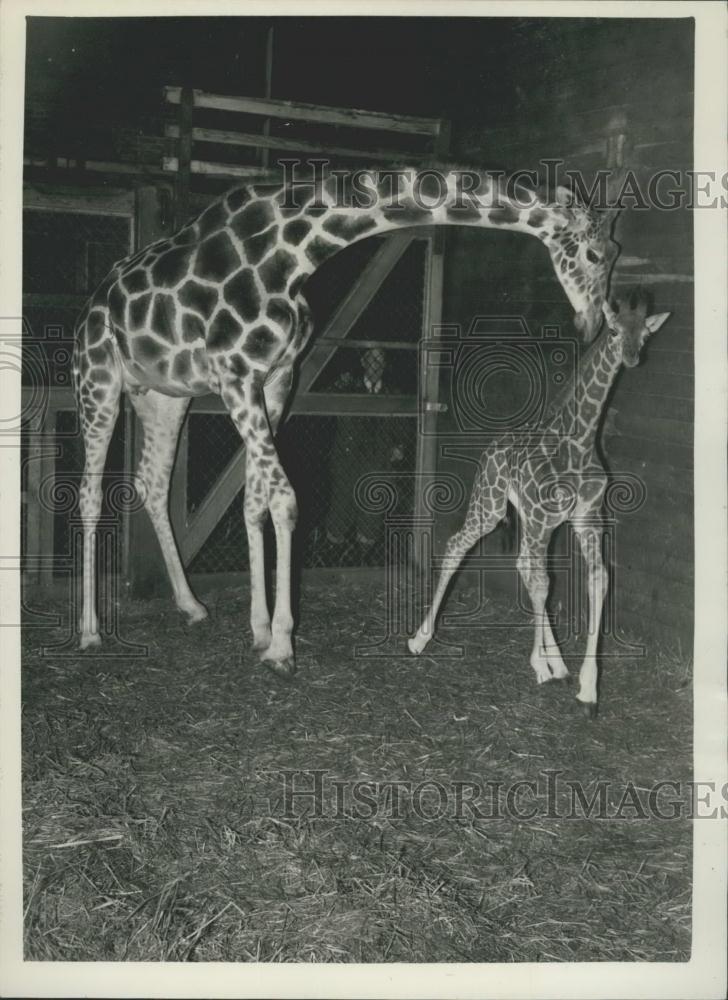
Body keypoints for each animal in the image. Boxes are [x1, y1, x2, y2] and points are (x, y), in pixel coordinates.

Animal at [72, 164, 620, 676]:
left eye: (614, 255)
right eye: (595, 255)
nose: (592, 323)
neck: (294, 252)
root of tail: (93, 302)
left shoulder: (276, 378)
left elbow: (255, 502)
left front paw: (260, 629)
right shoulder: (236, 377)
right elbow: (286, 500)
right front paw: (282, 645)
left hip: (163, 396)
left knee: (152, 482)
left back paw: (189, 605)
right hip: (97, 380)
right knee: (91, 494)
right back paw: (90, 631)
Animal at [406, 290, 668, 720]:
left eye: (644, 335)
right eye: (614, 330)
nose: (631, 357)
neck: (580, 442)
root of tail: (492, 447)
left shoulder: (586, 519)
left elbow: (598, 579)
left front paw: (587, 689)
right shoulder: (545, 517)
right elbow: (544, 582)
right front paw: (541, 666)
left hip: (525, 516)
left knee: (523, 565)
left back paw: (558, 663)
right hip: (492, 504)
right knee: (460, 545)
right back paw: (419, 639)